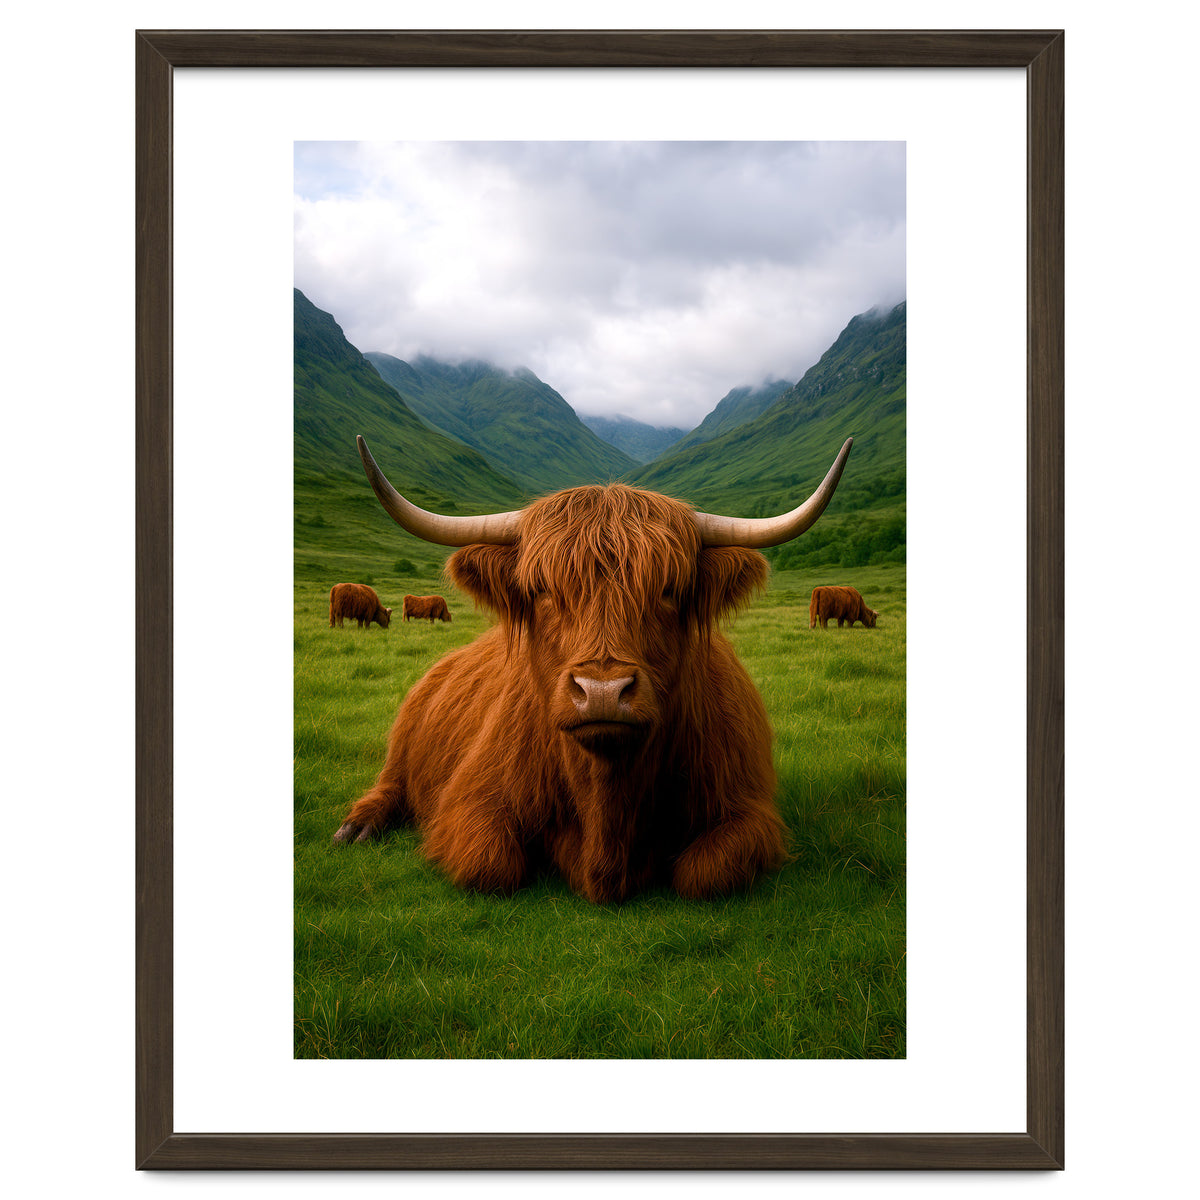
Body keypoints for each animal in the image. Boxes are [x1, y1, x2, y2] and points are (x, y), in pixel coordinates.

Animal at [334, 433, 853, 903]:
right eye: (542, 589)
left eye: (669, 590)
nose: (602, 691)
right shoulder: (470, 800)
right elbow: (491, 865)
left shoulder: (747, 810)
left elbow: (705, 874)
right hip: (403, 742)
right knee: (390, 783)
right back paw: (357, 827)